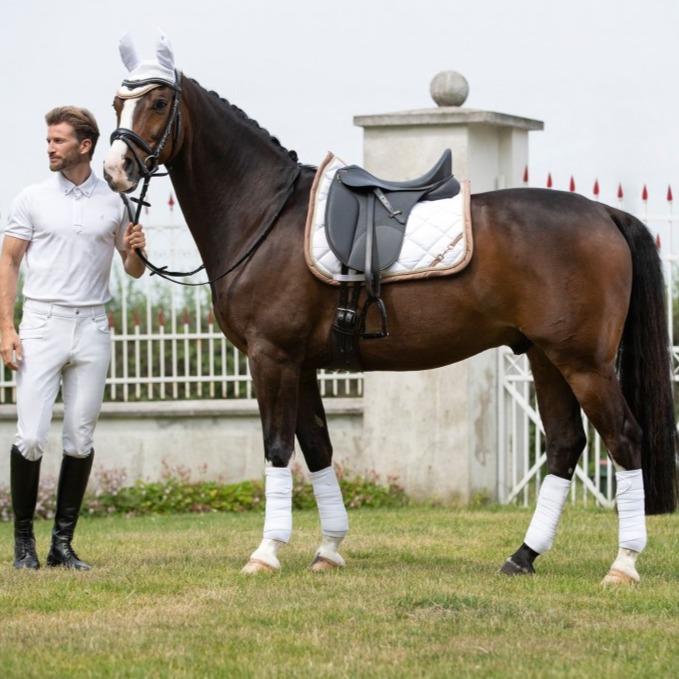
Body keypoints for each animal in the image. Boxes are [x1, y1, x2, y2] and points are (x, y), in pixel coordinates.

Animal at [103, 36, 676, 584]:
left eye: (158, 101)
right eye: (117, 102)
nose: (115, 170)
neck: (265, 215)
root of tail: (604, 212)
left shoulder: (272, 357)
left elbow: (277, 448)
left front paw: (266, 553)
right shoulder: (302, 365)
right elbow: (318, 449)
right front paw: (328, 550)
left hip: (583, 362)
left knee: (623, 439)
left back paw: (623, 564)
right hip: (545, 355)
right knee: (564, 444)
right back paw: (522, 557)